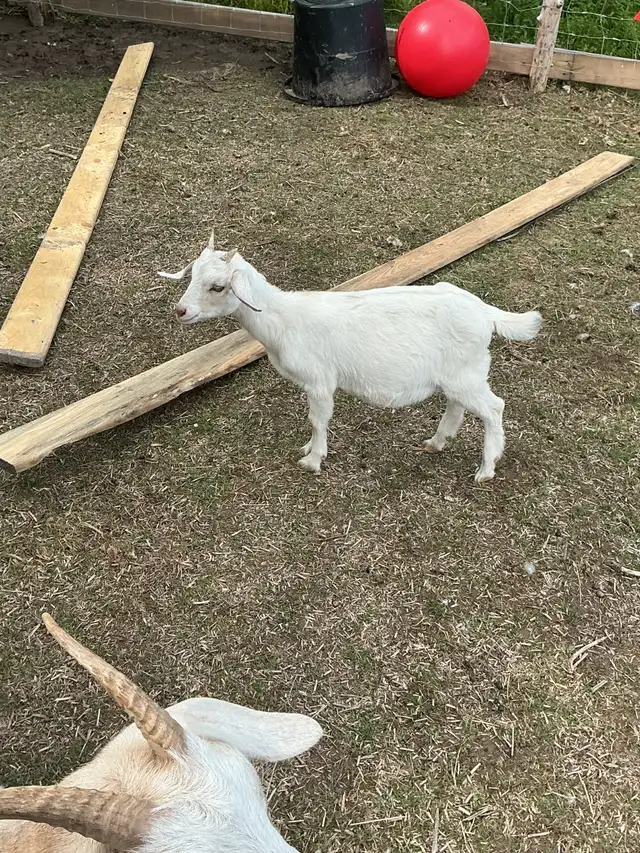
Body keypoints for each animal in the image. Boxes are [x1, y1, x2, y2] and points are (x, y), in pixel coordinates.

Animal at [162, 231, 542, 482]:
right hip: (458, 375)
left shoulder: (319, 381)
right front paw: (308, 450)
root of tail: (486, 313)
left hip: (468, 374)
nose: (180, 311)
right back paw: (436, 442)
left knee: (494, 408)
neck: (284, 319)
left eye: (218, 286)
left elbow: (318, 420)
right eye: (192, 276)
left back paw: (486, 469)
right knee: (459, 406)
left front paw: (313, 460)